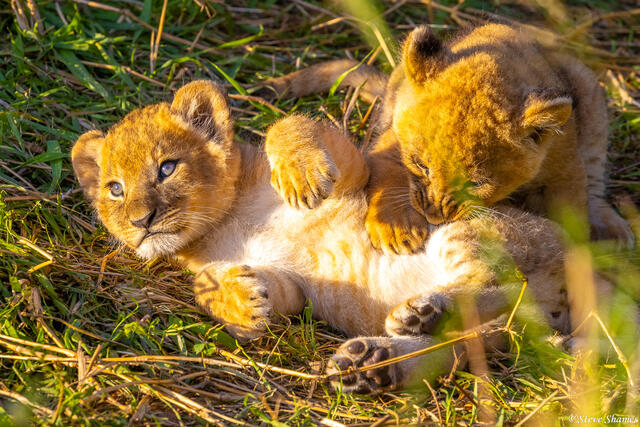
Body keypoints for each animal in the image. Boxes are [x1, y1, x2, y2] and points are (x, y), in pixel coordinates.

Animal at [72, 80, 575, 394]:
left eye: (167, 168)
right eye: (115, 189)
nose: (141, 220)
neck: (221, 225)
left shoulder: (360, 172)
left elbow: (290, 125)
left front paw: (300, 174)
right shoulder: (293, 285)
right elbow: (218, 286)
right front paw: (243, 304)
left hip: (471, 230)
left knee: (503, 287)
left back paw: (420, 313)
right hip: (497, 324)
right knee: (467, 341)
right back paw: (371, 361)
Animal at [262, 24, 634, 254]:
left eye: (477, 182)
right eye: (421, 166)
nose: (433, 214)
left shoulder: (565, 169)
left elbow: (574, 216)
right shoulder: (389, 143)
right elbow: (390, 177)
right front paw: (396, 229)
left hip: (590, 93)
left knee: (595, 179)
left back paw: (612, 228)